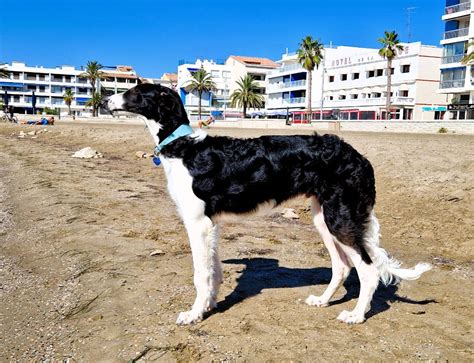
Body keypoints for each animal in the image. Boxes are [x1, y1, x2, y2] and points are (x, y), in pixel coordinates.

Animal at [105, 84, 432, 328]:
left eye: (135, 92)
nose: (106, 101)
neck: (184, 148)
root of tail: (360, 158)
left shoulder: (197, 223)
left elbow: (201, 274)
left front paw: (194, 314)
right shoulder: (212, 224)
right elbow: (214, 270)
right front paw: (209, 305)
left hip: (340, 219)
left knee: (368, 269)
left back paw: (356, 315)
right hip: (324, 218)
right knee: (342, 266)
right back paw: (323, 300)